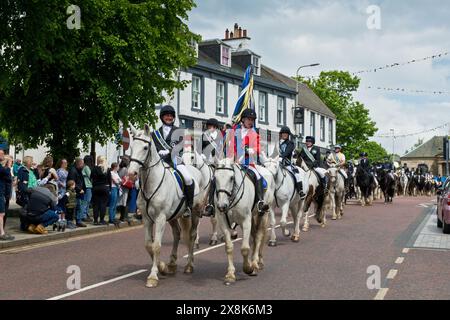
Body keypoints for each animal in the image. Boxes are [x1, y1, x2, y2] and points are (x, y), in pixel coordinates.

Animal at [127, 125, 207, 288]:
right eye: (131, 147)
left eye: (145, 147)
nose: (131, 174)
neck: (151, 184)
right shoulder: (147, 219)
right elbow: (148, 245)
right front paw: (162, 267)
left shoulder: (160, 218)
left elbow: (156, 246)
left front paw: (153, 276)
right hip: (173, 216)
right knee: (177, 234)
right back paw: (172, 264)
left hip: (195, 212)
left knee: (192, 235)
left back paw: (189, 265)